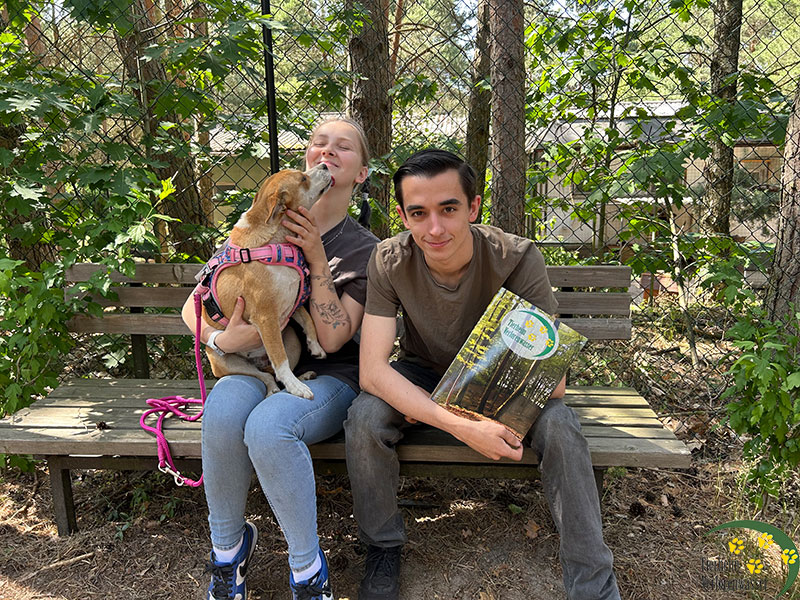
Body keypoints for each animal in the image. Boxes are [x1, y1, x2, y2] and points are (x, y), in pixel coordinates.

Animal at [201, 163, 333, 399]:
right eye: (302, 179)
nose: (325, 164)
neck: (274, 242)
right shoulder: (266, 317)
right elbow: (280, 360)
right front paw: (296, 389)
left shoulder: (293, 300)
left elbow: (308, 320)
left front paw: (316, 347)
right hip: (226, 361)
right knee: (269, 375)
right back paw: (281, 388)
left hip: (291, 340)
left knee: (273, 371)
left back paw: (302, 377)